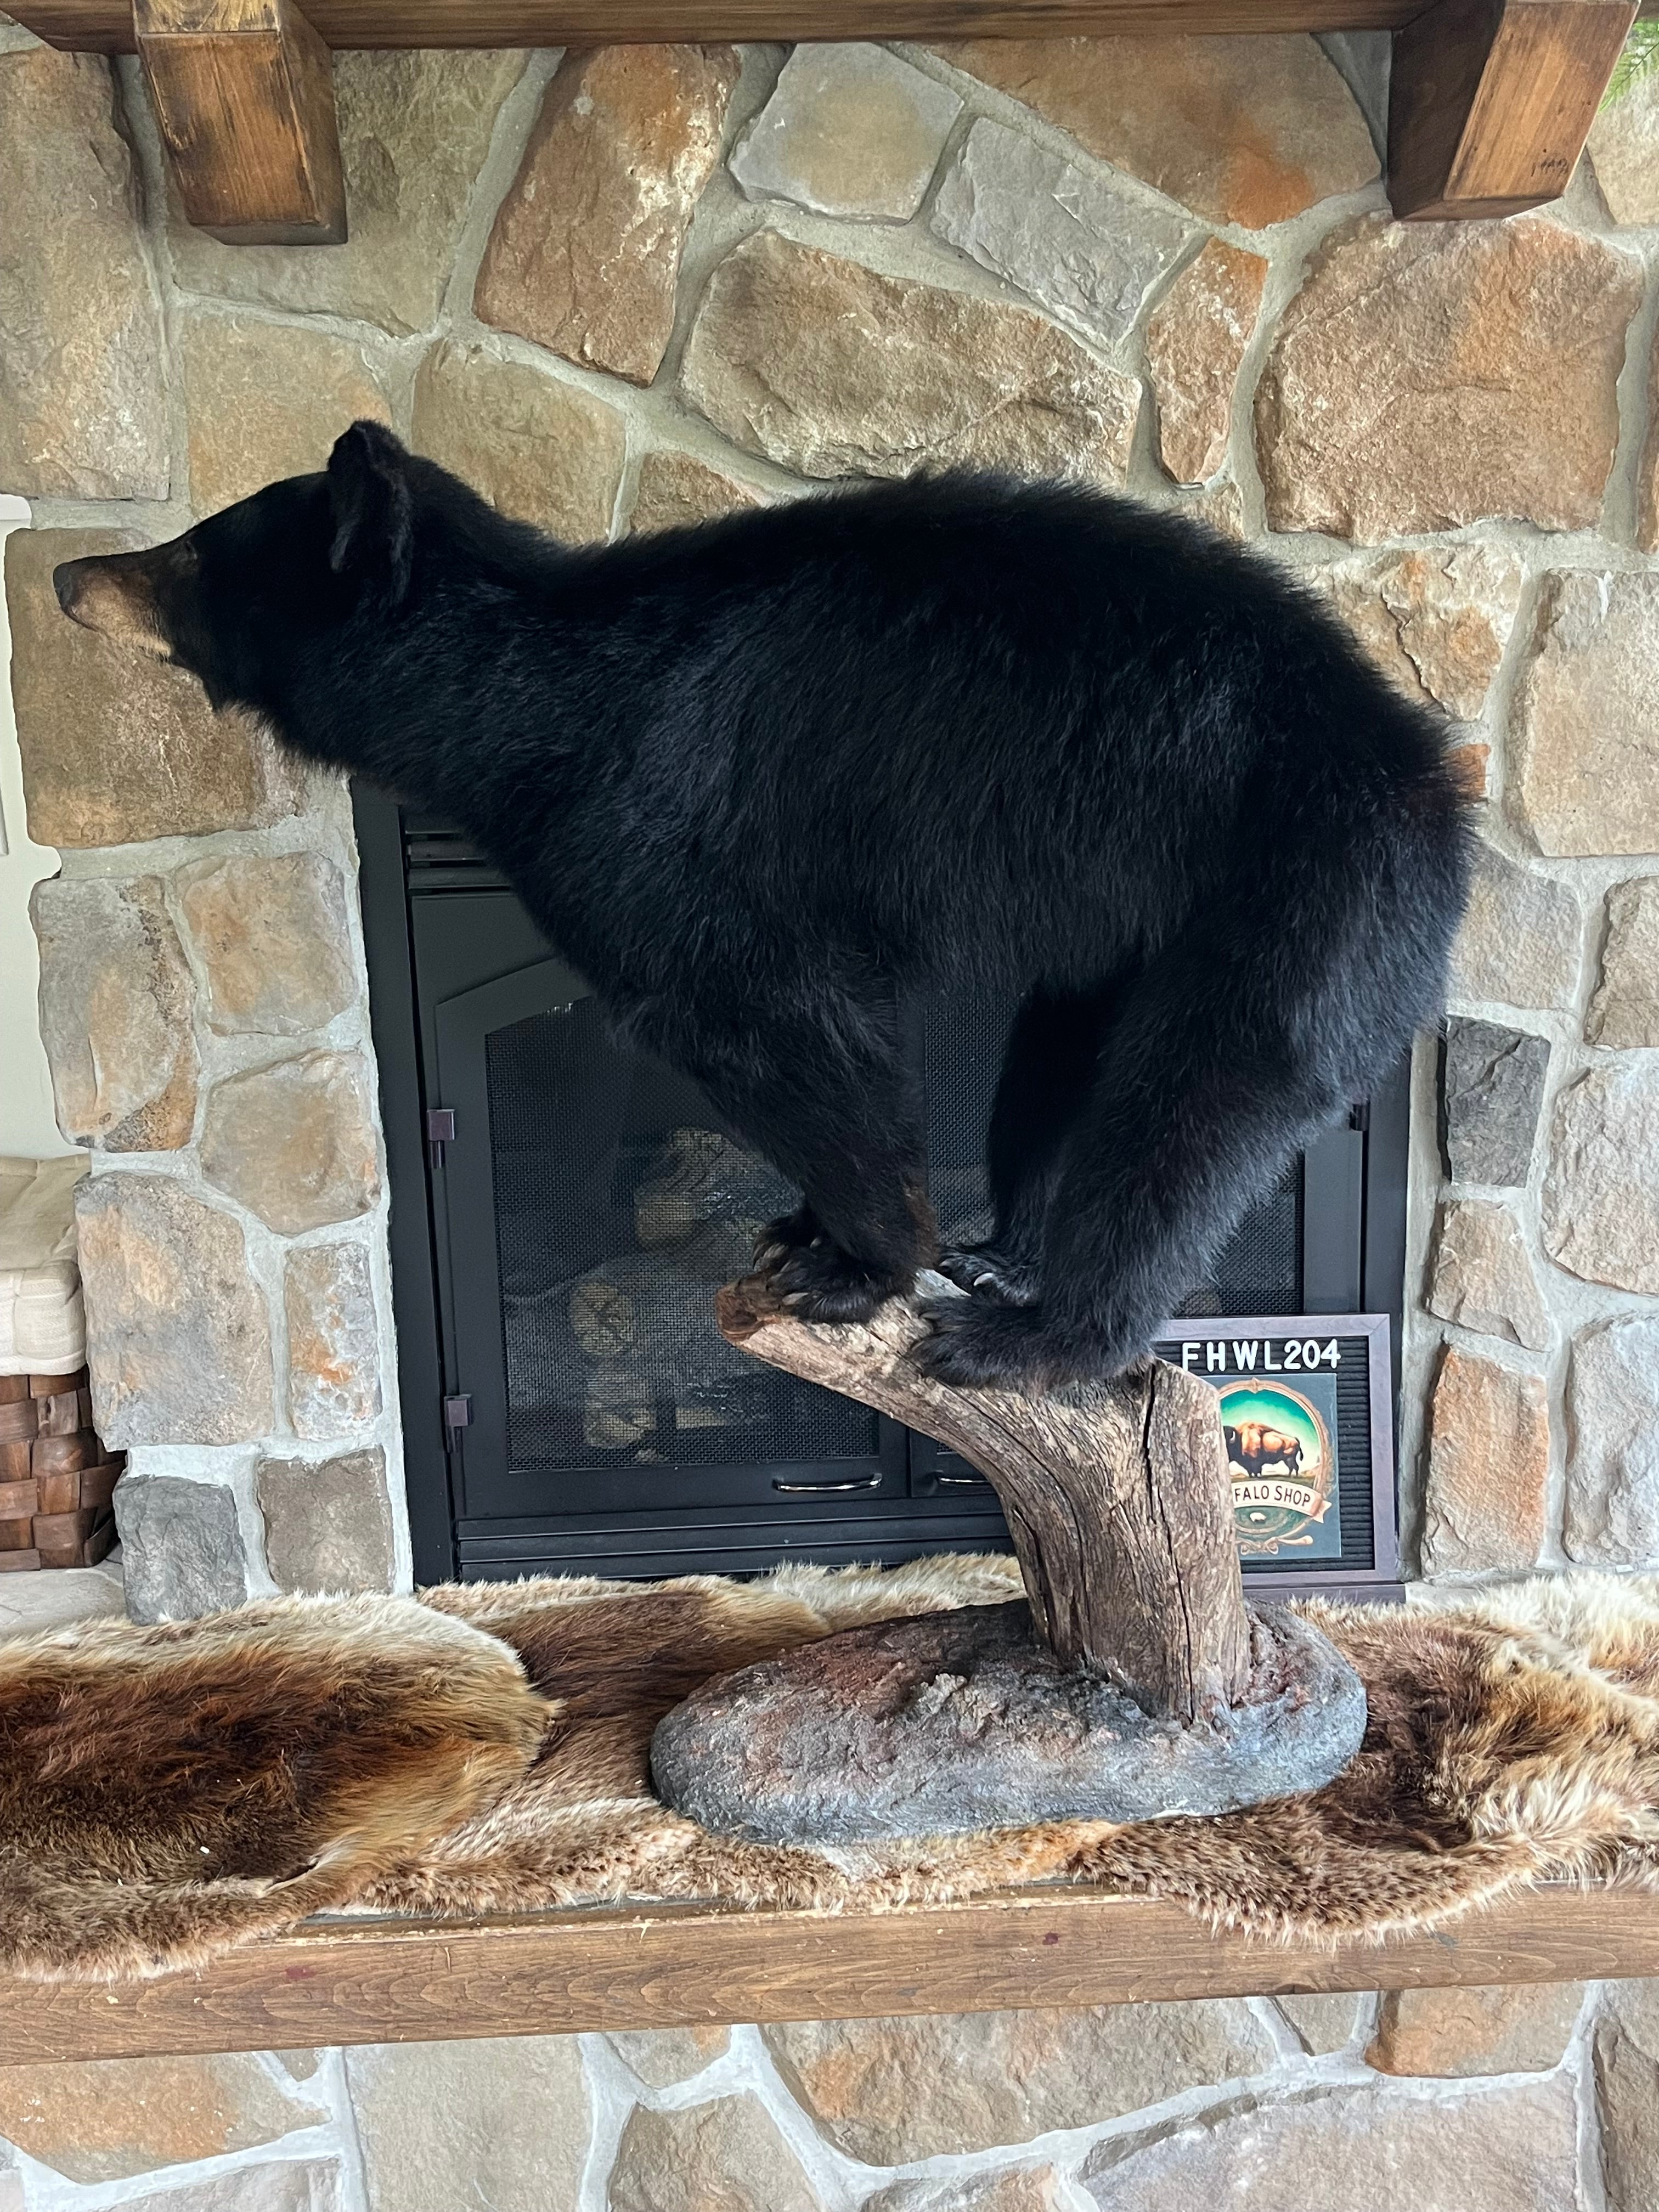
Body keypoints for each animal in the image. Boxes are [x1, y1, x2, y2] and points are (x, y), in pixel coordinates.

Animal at [54, 422, 1470, 1389]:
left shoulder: (649, 831)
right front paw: (808, 1228)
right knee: (1061, 1062)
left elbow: (758, 1020)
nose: (68, 573)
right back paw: (1008, 1251)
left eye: (190, 548)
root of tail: (1432, 790)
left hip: (1297, 906)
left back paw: (1031, 1334)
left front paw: (851, 1262)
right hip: (1135, 932)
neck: (513, 706)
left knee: (1189, 1121)